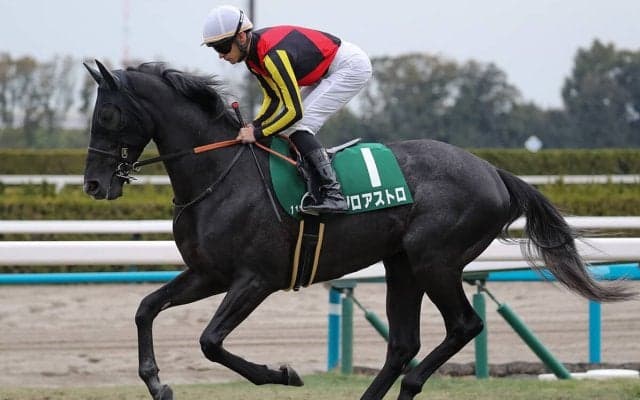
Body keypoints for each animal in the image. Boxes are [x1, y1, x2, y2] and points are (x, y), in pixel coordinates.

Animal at [82, 60, 633, 400]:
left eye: (106, 113)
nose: (92, 183)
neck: (222, 174)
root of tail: (494, 172)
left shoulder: (255, 279)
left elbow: (211, 342)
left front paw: (283, 374)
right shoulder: (207, 273)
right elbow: (146, 308)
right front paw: (157, 383)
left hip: (435, 260)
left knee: (464, 326)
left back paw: (412, 384)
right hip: (402, 263)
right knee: (403, 343)